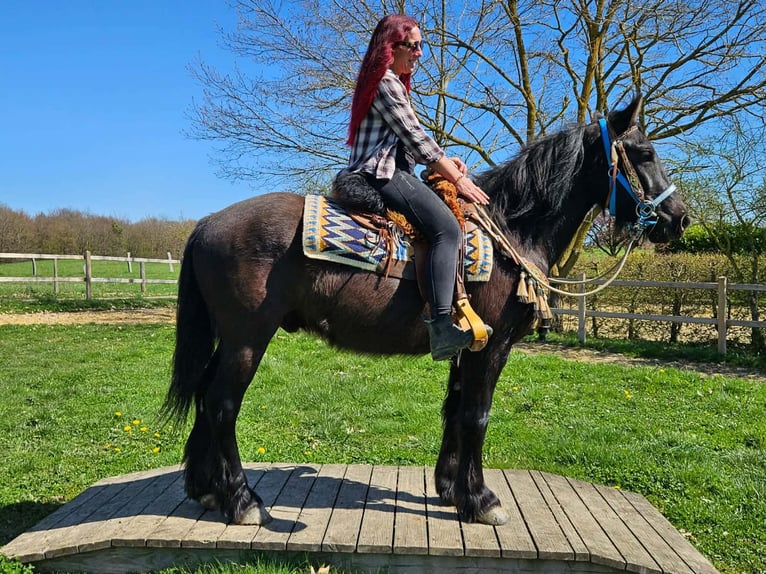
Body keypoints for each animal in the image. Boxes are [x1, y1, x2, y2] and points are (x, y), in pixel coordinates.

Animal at [162, 96, 690, 527]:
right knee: (222, 404)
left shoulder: (467, 345)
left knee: (206, 398)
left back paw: (206, 490)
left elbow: (454, 409)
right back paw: (241, 500)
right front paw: (481, 500)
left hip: (230, 338)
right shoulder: (491, 347)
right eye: (645, 154)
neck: (511, 229)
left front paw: (451, 488)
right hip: (248, 339)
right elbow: (476, 415)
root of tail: (207, 223)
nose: (680, 219)